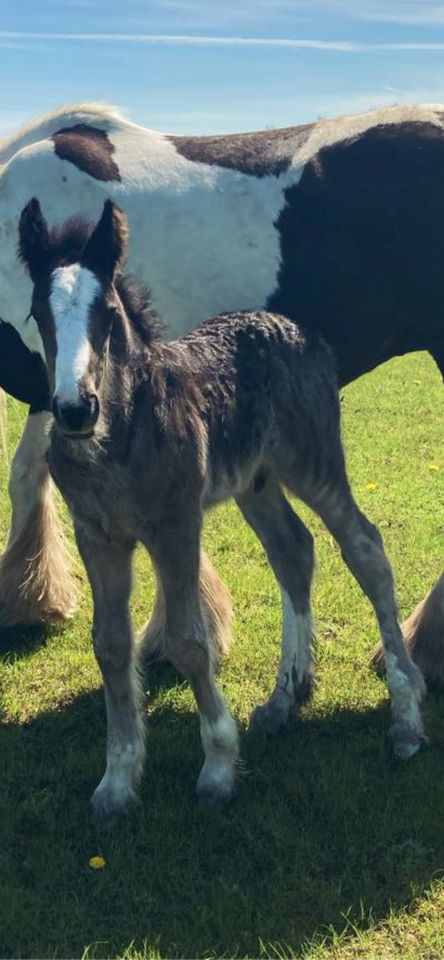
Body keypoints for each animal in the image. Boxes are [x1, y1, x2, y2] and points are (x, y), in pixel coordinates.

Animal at [18, 199, 426, 820]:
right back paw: (286, 697)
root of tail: (302, 331)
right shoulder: (98, 534)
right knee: (293, 549)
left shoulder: (176, 526)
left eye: (106, 313)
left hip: (315, 463)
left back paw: (405, 718)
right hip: (255, 484)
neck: (122, 434)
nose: (72, 409)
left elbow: (189, 642)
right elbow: (110, 645)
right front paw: (117, 780)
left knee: (366, 551)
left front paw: (217, 767)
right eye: (39, 312)